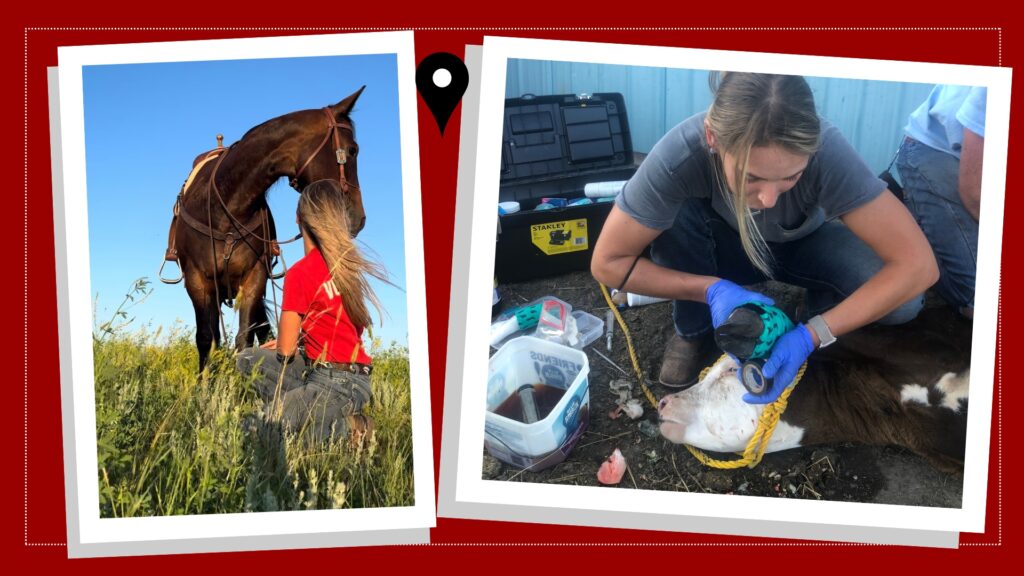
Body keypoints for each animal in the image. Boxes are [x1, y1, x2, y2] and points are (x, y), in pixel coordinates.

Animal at [161, 87, 366, 368]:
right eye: (353, 150)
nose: (358, 218)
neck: (225, 205)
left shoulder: (255, 279)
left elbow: (245, 338)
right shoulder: (198, 282)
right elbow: (206, 339)